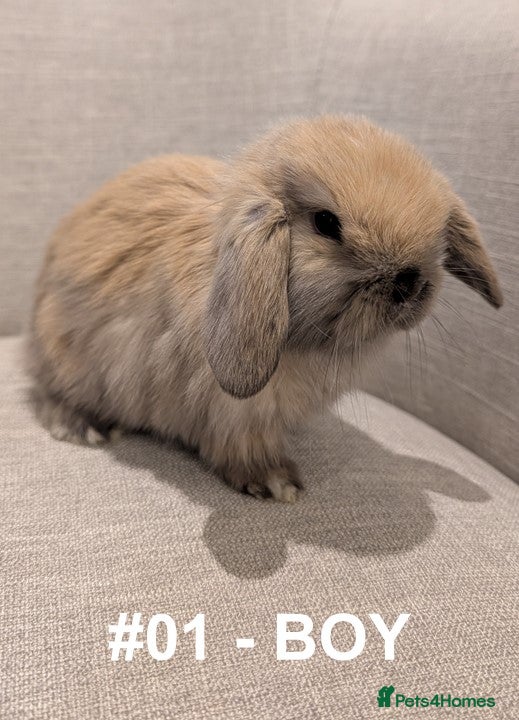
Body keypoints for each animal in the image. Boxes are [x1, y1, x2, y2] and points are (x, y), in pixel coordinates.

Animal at [28, 115, 503, 502]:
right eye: (326, 223)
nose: (409, 283)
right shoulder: (236, 412)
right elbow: (242, 448)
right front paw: (278, 484)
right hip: (71, 359)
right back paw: (85, 427)